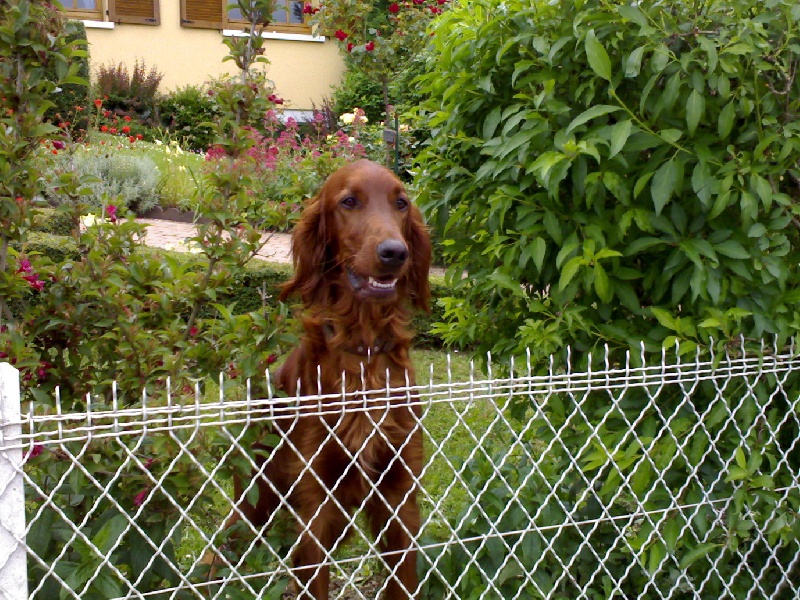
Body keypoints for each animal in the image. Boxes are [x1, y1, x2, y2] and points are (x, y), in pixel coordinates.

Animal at [217, 161, 432, 600]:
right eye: (348, 202)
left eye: (401, 203)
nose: (394, 253)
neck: (364, 352)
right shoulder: (317, 504)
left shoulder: (400, 498)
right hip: (255, 502)